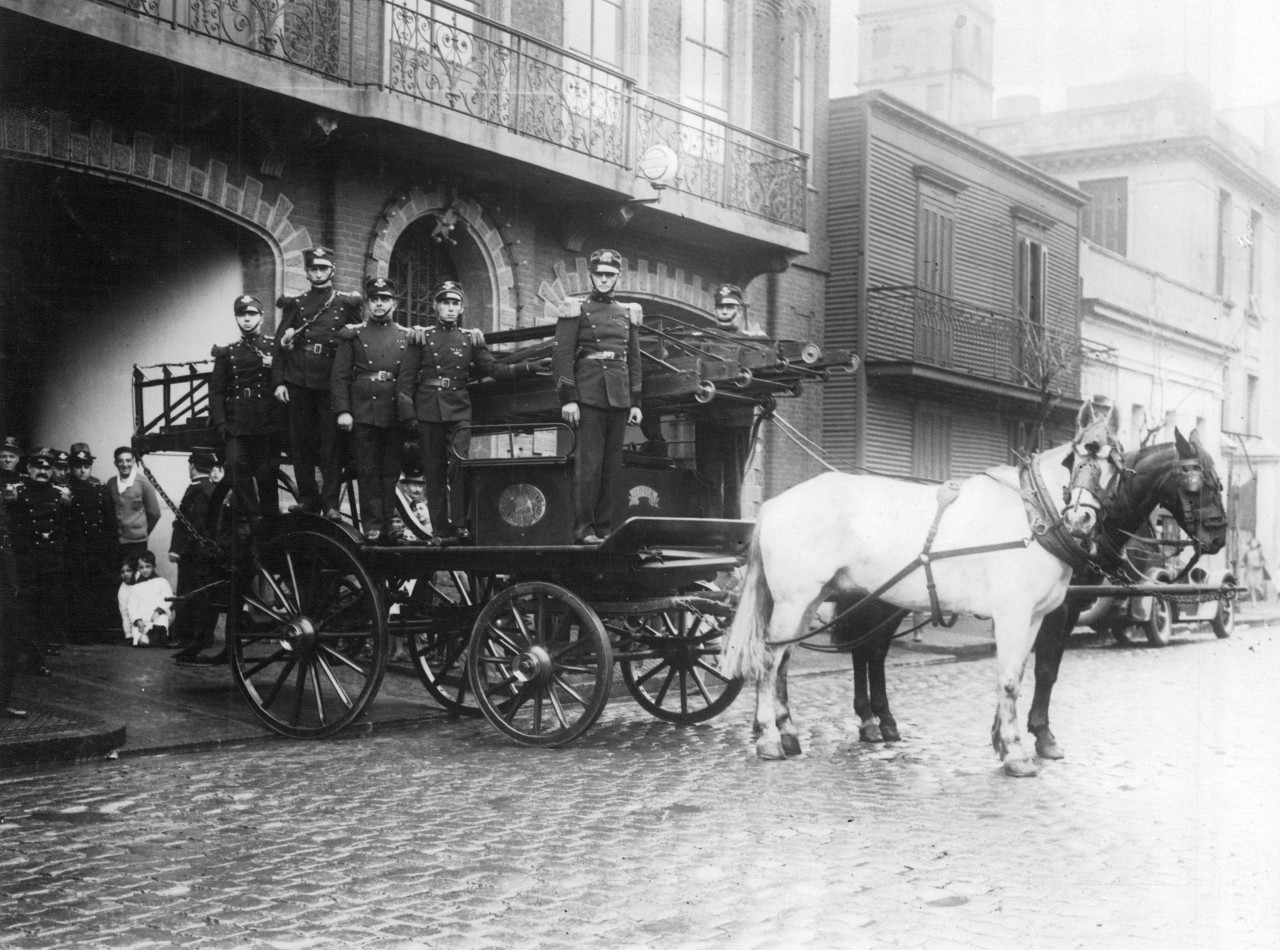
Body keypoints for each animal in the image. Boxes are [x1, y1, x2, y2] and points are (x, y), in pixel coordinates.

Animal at [721, 404, 1121, 778]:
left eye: (1112, 462)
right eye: (1075, 458)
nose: (1079, 517)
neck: (1031, 513)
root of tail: (774, 504)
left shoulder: (1035, 616)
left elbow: (1019, 674)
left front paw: (1002, 742)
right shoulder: (1013, 613)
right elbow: (1010, 680)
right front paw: (1016, 753)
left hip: (810, 601)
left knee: (785, 661)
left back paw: (789, 734)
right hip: (794, 601)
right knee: (770, 662)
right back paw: (769, 739)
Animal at [829, 430, 1228, 752]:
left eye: (1220, 483)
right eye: (1197, 486)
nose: (1219, 537)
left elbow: (1026, 666)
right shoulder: (1059, 609)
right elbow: (1045, 669)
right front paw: (1042, 735)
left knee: (871, 650)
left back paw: (878, 721)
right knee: (869, 650)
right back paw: (874, 720)